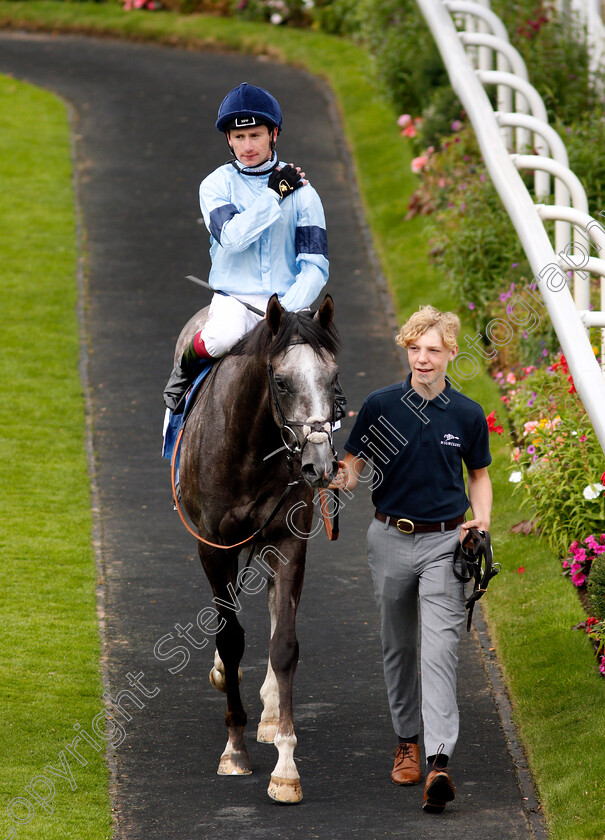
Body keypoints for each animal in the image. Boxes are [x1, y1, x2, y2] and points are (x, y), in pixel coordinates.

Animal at [173, 292, 340, 804]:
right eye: (281, 382)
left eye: (333, 379)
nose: (319, 464)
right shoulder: (214, 545)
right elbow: (229, 638)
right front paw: (234, 749)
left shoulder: (289, 540)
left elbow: (283, 643)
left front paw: (285, 768)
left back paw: (268, 711)